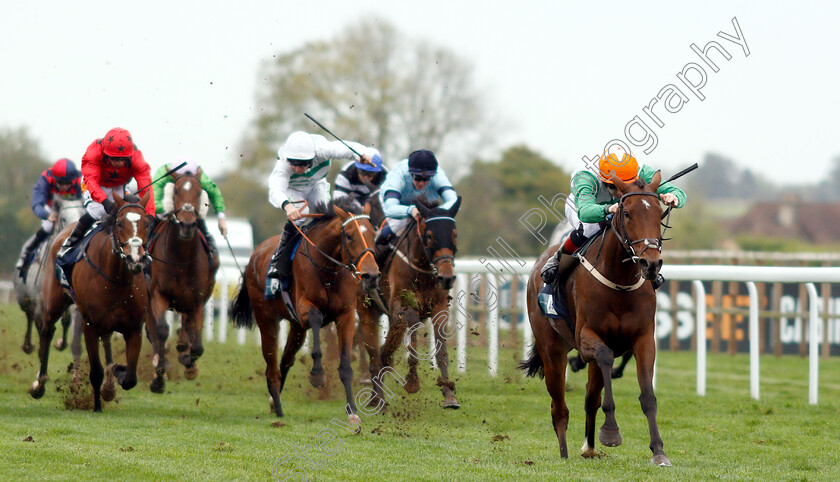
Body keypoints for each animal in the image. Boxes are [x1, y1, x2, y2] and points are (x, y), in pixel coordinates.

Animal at [36, 191, 153, 410]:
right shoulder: (89, 325)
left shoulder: (134, 328)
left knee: (106, 340)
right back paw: (39, 384)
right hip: (53, 301)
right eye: (120, 223)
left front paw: (115, 376)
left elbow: (130, 378)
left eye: (147, 224)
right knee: (47, 331)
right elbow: (96, 372)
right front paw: (97, 406)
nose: (135, 259)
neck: (117, 279)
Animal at [148, 173, 220, 392]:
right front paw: (158, 378)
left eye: (199, 192)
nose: (187, 225)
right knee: (153, 330)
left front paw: (189, 364)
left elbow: (197, 345)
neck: (180, 258)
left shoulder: (197, 301)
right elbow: (161, 331)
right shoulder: (158, 294)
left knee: (186, 326)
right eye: (177, 191)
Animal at [233, 198, 384, 424]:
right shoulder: (304, 309)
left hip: (296, 329)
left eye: (373, 234)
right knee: (271, 366)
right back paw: (278, 409)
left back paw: (273, 402)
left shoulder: (346, 315)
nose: (371, 275)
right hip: (266, 319)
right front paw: (318, 374)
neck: (328, 271)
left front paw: (353, 413)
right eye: (349, 235)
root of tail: (255, 255)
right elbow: (315, 321)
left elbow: (346, 366)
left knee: (286, 360)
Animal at [354, 198, 460, 408]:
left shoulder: (440, 308)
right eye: (429, 236)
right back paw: (377, 397)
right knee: (375, 353)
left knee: (385, 351)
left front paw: (449, 393)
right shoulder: (402, 307)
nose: (446, 277)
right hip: (366, 310)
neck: (423, 271)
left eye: (454, 234)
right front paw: (412, 382)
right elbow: (410, 336)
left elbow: (441, 350)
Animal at [520, 171, 672, 466]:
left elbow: (647, 396)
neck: (619, 282)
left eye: (660, 213)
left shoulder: (644, 338)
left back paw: (588, 447)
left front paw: (659, 451)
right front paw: (611, 432)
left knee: (590, 398)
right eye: (627, 213)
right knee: (559, 407)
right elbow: (604, 360)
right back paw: (565, 454)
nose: (650, 264)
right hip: (551, 350)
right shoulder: (587, 337)